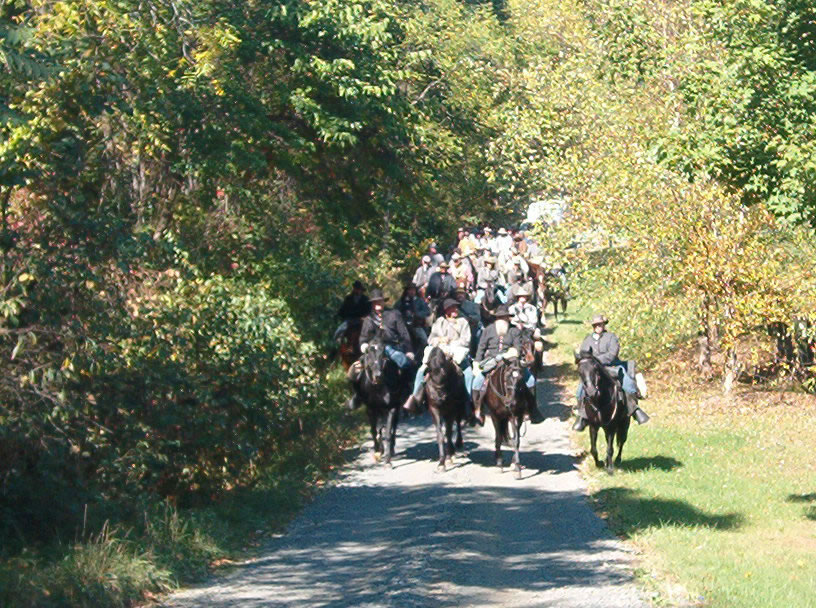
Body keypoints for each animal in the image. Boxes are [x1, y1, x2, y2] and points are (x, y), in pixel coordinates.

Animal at [358, 338, 404, 467]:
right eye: (368, 355)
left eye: (383, 356)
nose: (378, 375)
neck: (377, 388)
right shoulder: (370, 409)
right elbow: (374, 431)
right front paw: (377, 452)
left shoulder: (391, 408)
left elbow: (388, 432)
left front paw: (387, 460)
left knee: (393, 427)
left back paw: (391, 449)